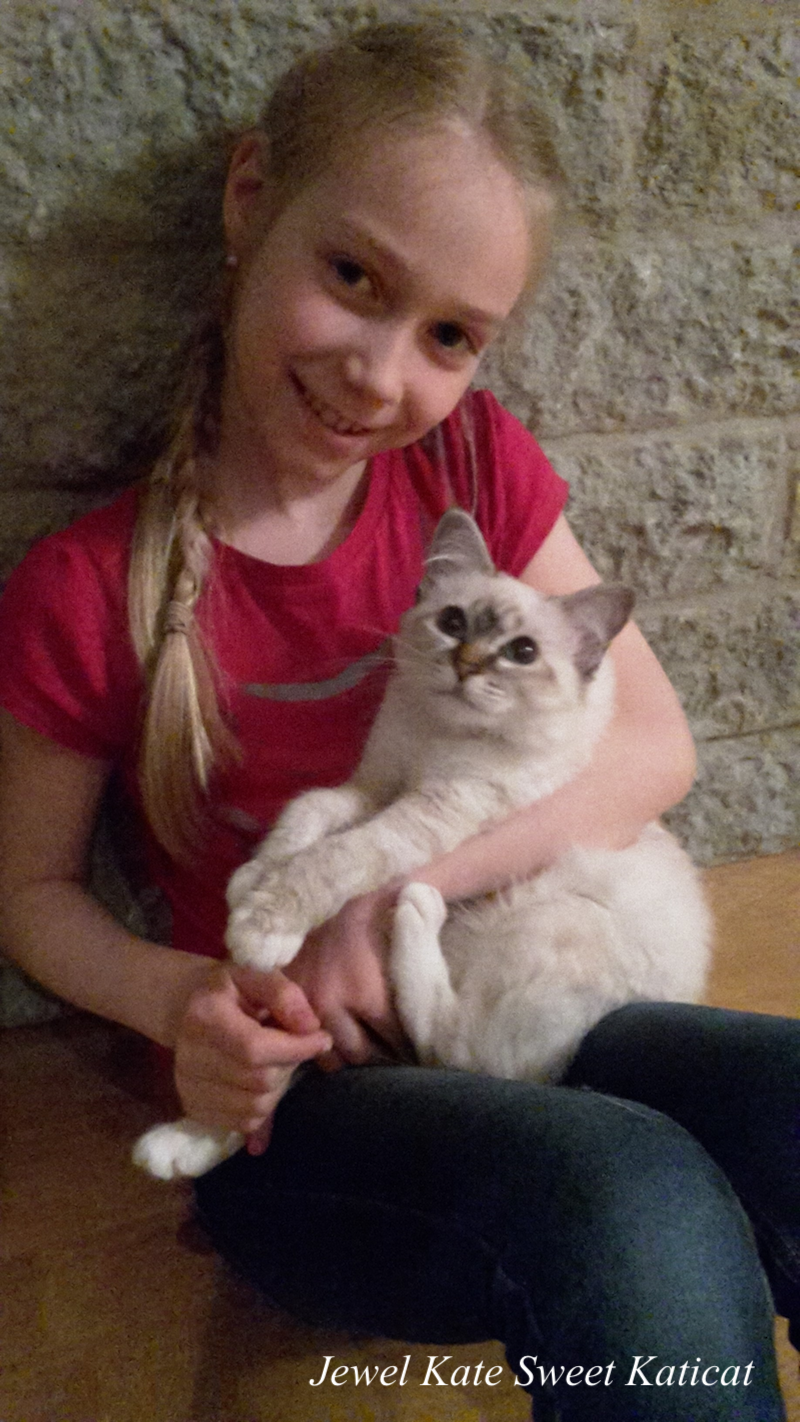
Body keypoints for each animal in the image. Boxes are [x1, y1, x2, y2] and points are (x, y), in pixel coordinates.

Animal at [134, 509, 710, 1179]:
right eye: (453, 622)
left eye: (522, 653)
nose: (468, 662)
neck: (437, 736)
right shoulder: (373, 785)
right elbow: (306, 815)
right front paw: (252, 881)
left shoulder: (426, 811)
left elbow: (336, 857)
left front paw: (261, 927)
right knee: (290, 1073)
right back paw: (176, 1148)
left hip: (546, 923)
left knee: (451, 1046)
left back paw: (417, 910)